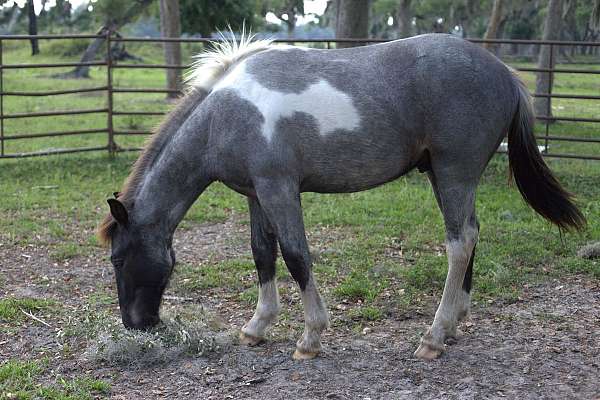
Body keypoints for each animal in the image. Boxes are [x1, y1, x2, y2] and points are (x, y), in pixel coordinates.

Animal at [97, 33, 580, 360]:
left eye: (118, 259)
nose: (136, 325)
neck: (225, 113)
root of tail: (506, 75)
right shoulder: (256, 193)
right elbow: (262, 253)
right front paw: (256, 327)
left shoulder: (279, 189)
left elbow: (296, 255)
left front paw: (310, 337)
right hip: (446, 177)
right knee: (471, 234)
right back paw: (455, 325)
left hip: (454, 172)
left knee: (459, 243)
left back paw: (433, 337)